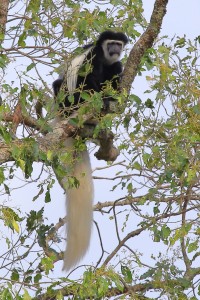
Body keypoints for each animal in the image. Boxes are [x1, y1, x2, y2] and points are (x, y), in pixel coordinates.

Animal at [52, 31, 128, 272]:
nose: (115, 50)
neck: (105, 57)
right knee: (62, 84)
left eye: (118, 44)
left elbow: (117, 69)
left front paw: (111, 97)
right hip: (66, 99)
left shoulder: (114, 64)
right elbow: (89, 76)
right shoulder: (93, 57)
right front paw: (101, 98)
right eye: (111, 43)